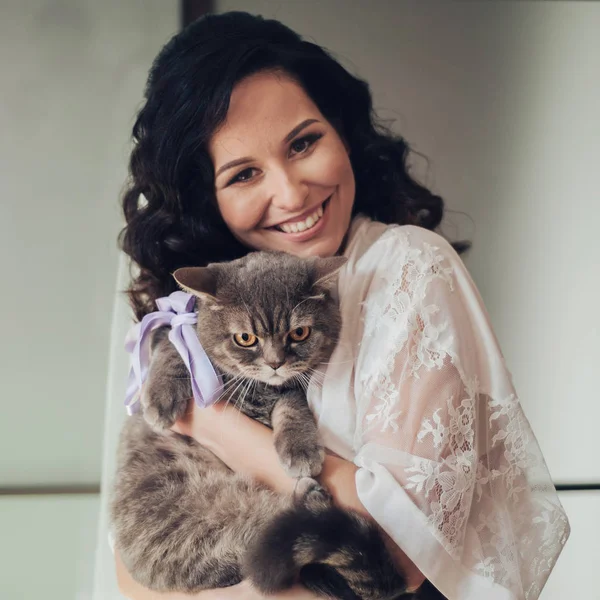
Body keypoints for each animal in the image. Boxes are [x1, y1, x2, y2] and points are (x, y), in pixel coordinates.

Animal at [112, 252, 412, 600]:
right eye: (245, 338)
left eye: (299, 333)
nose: (275, 363)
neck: (259, 388)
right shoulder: (175, 330)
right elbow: (173, 346)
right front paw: (161, 397)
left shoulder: (289, 391)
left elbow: (292, 405)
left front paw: (300, 447)